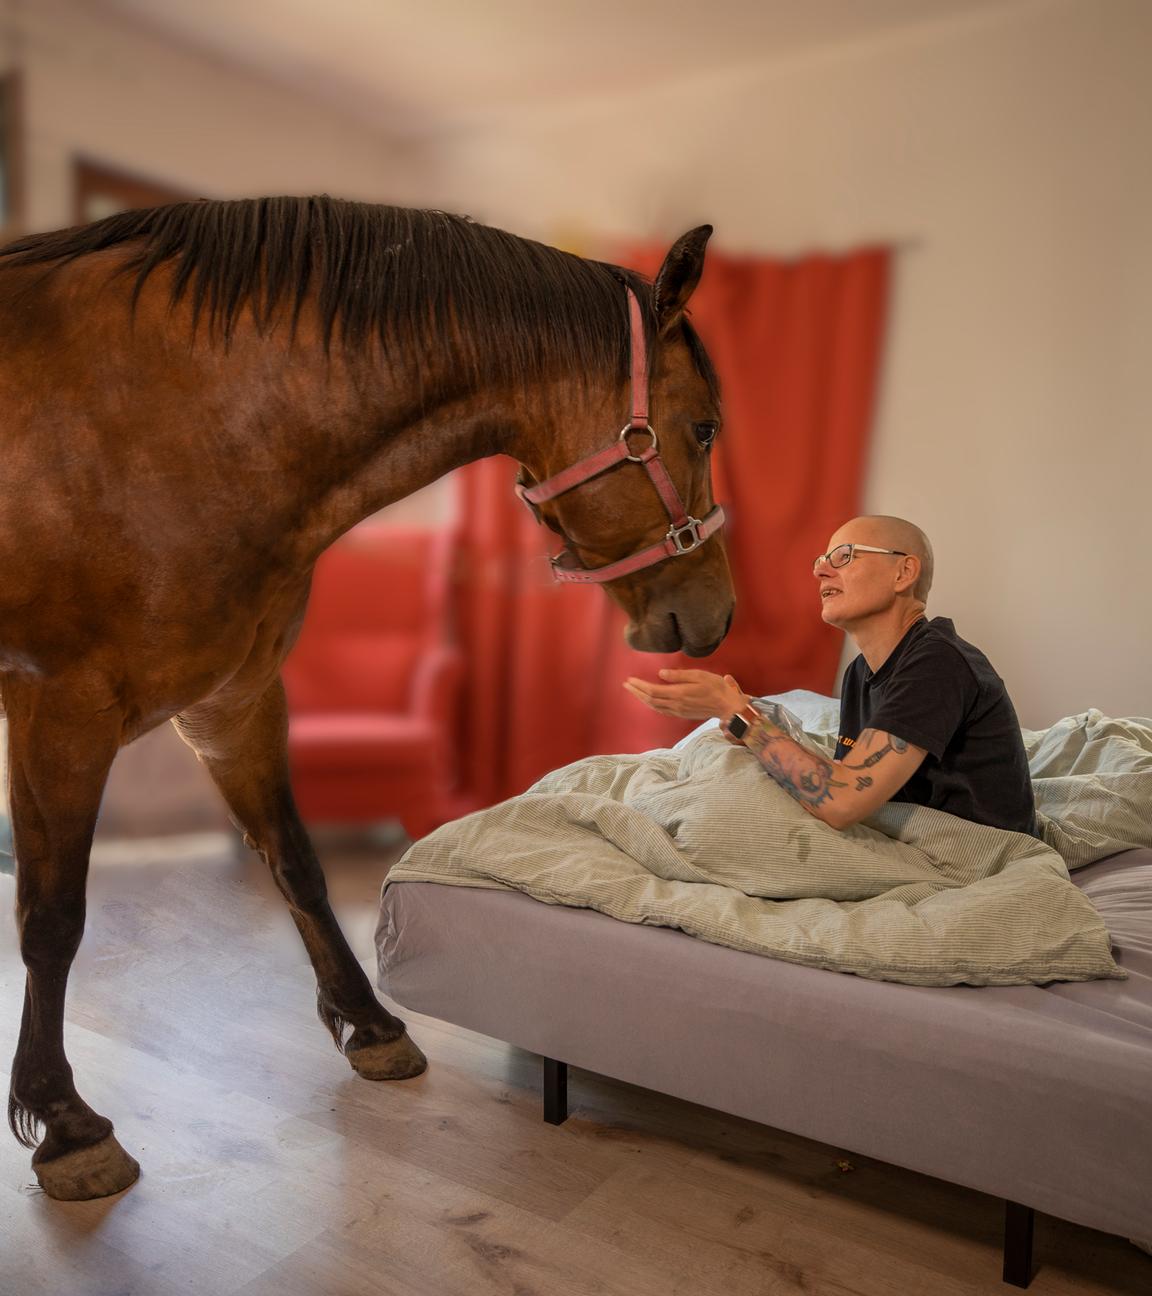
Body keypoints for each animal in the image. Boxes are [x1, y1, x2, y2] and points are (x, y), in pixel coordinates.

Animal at [0, 194, 730, 1202]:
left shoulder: (233, 702)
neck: (168, 419)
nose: (720, 611)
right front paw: (66, 1122)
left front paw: (371, 1023)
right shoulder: (59, 711)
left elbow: (297, 864)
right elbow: (52, 917)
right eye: (704, 429)